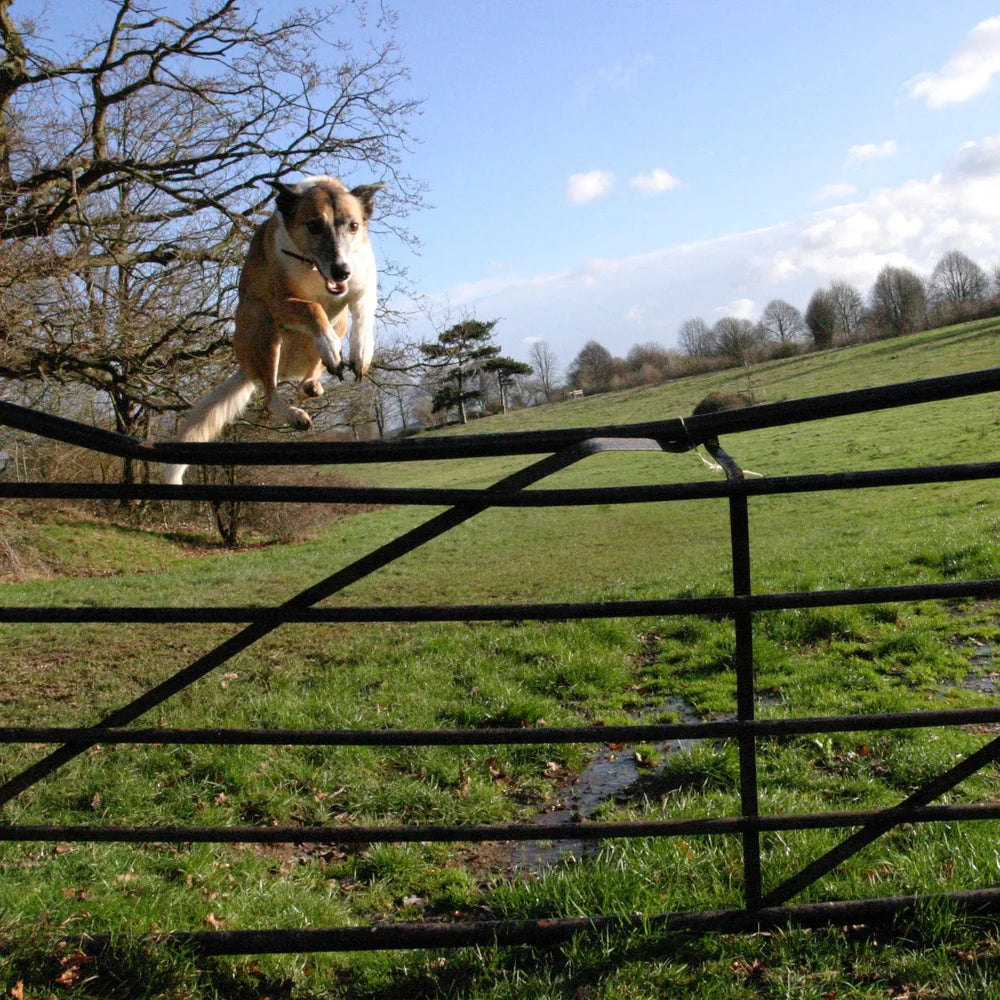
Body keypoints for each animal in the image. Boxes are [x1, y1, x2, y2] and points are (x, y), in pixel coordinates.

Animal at [164, 177, 382, 488]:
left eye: (353, 225)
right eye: (314, 225)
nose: (341, 271)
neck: (312, 268)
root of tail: (247, 368)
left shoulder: (362, 281)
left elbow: (362, 311)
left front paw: (361, 352)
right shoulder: (279, 302)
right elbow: (313, 307)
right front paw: (328, 343)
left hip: (335, 324)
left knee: (309, 374)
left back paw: (315, 379)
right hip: (259, 323)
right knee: (269, 394)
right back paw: (294, 410)